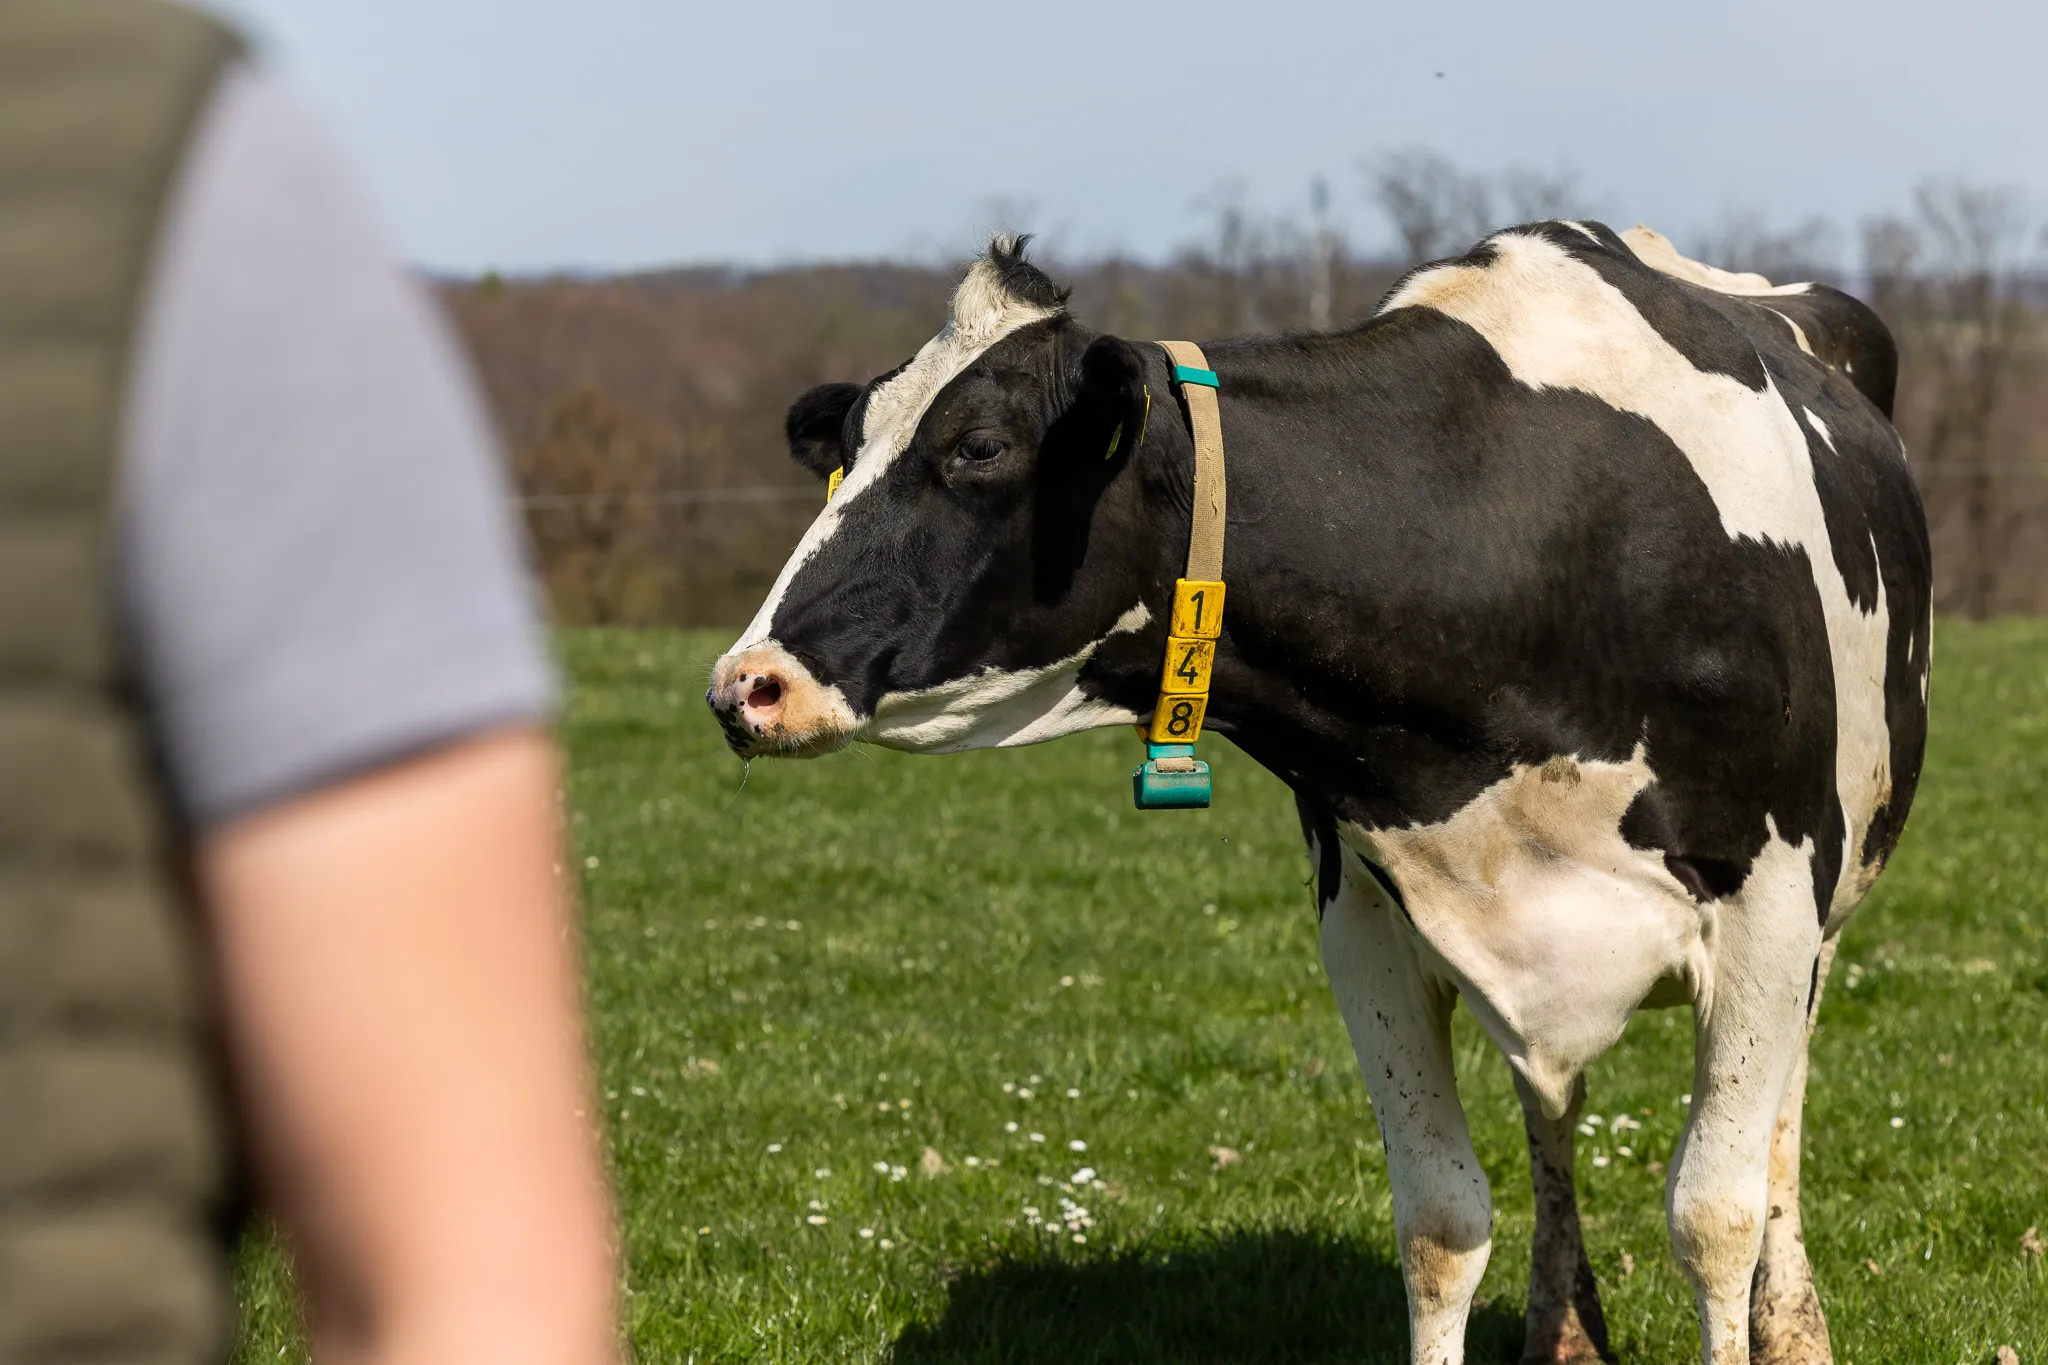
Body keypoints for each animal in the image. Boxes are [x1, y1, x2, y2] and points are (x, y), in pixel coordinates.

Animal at [706, 224, 1930, 1365]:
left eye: (977, 445)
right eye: (846, 451)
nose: (745, 684)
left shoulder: (1767, 904)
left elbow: (1712, 1214)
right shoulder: (1367, 921)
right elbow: (1441, 1222)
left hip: (1823, 916)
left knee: (1779, 1117)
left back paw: (1794, 1327)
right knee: (1552, 1109)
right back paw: (1564, 1332)